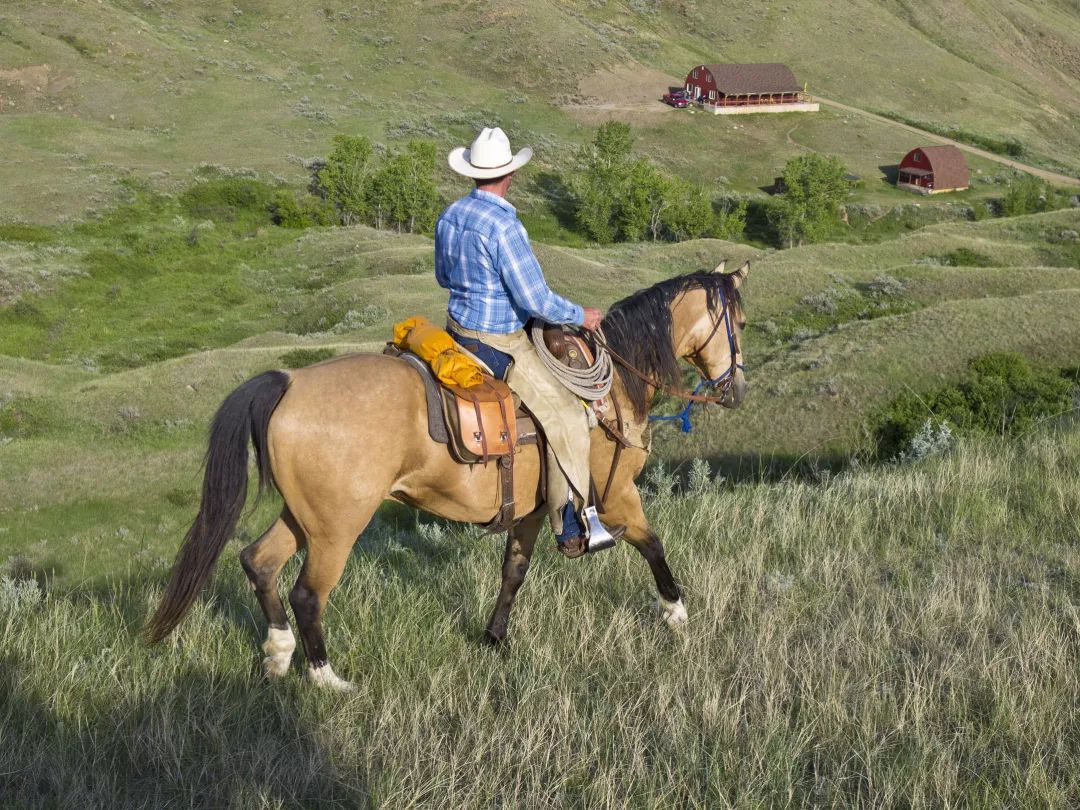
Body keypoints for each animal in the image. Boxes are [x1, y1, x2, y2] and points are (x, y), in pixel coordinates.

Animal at [145, 260, 751, 691]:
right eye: (740, 324)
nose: (736, 389)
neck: (614, 386)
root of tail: (289, 382)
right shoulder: (616, 493)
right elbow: (653, 545)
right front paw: (677, 613)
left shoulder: (536, 510)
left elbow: (514, 571)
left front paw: (495, 638)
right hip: (338, 527)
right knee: (307, 593)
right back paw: (327, 680)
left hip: (304, 516)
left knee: (259, 562)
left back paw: (277, 657)